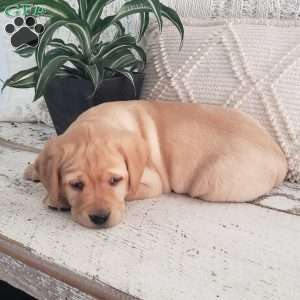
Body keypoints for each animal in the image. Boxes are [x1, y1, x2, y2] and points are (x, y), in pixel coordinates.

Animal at [24, 101, 288, 227]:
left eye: (115, 180)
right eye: (76, 185)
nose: (99, 218)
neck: (99, 122)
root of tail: (281, 156)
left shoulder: (151, 182)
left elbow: (129, 193)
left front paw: (56, 199)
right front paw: (35, 171)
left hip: (209, 181)